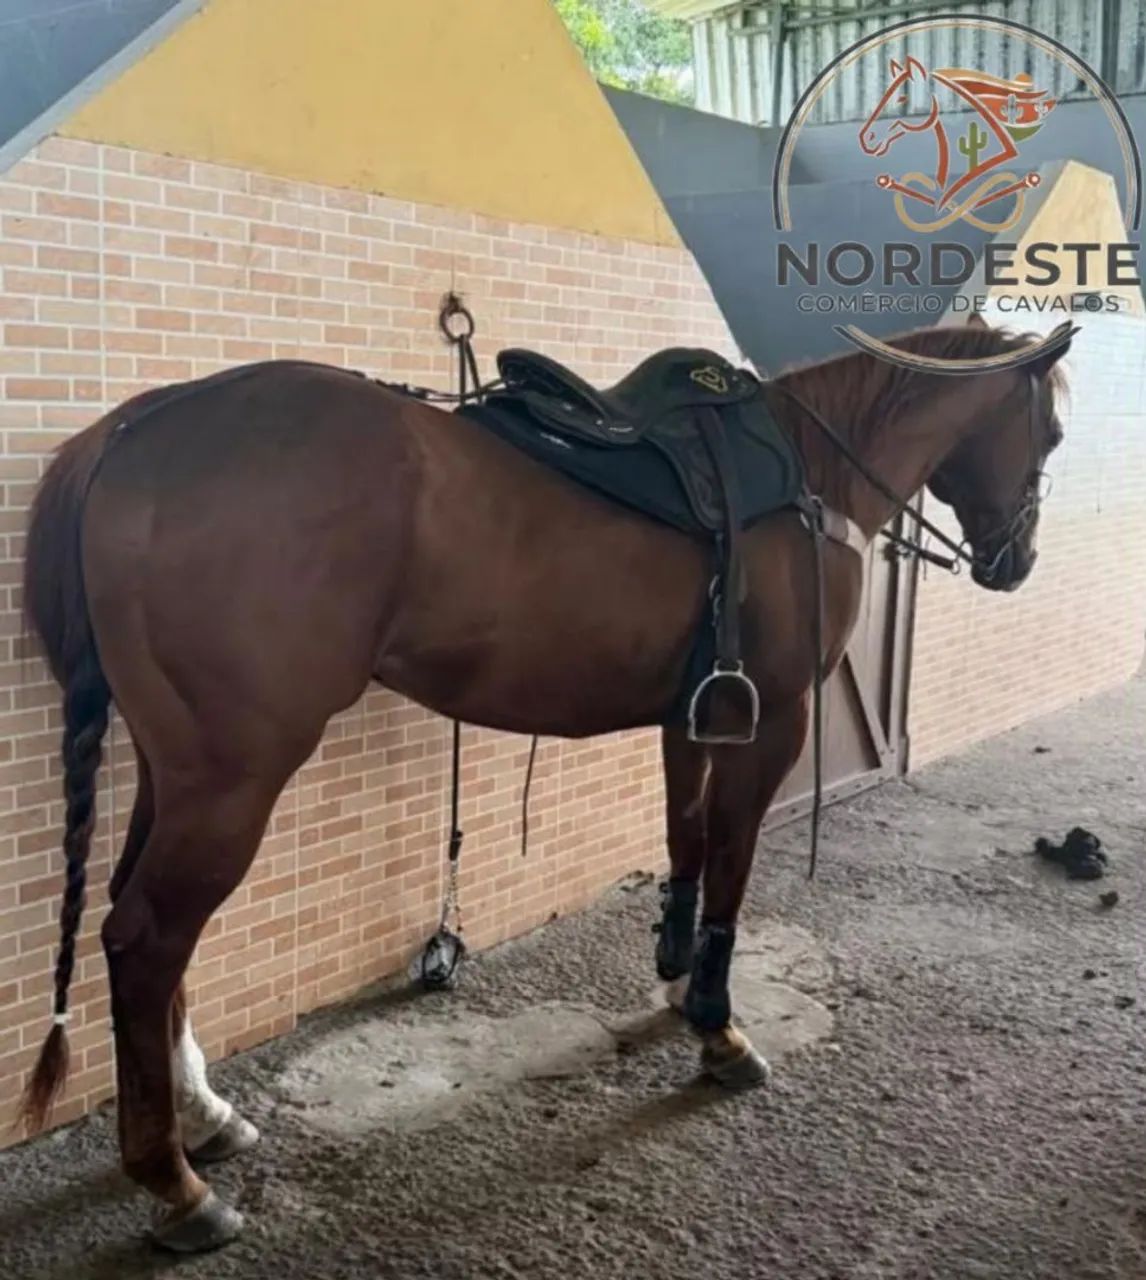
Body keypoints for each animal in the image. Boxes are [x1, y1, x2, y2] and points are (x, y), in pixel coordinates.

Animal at [18, 314, 1068, 1251]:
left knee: (137, 928)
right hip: (232, 780)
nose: (1016, 562)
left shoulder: (695, 717)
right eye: (1051, 431)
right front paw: (719, 1031)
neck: (811, 467)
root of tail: (135, 431)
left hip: (177, 771)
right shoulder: (772, 724)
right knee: (147, 939)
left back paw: (204, 1117)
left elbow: (687, 846)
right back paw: (176, 1187)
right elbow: (730, 870)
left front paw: (675, 982)